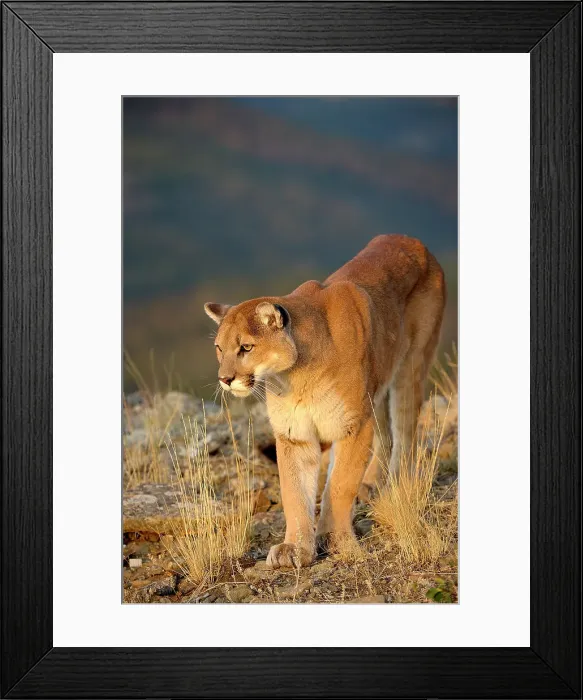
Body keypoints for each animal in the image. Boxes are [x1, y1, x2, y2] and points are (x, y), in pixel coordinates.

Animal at [204, 235, 446, 569]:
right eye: (219, 348)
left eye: (246, 347)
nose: (225, 379)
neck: (295, 378)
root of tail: (412, 240)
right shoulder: (294, 435)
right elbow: (294, 493)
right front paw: (295, 548)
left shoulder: (353, 426)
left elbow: (340, 485)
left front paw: (335, 540)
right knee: (386, 435)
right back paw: (372, 484)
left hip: (410, 368)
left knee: (405, 433)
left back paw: (395, 487)